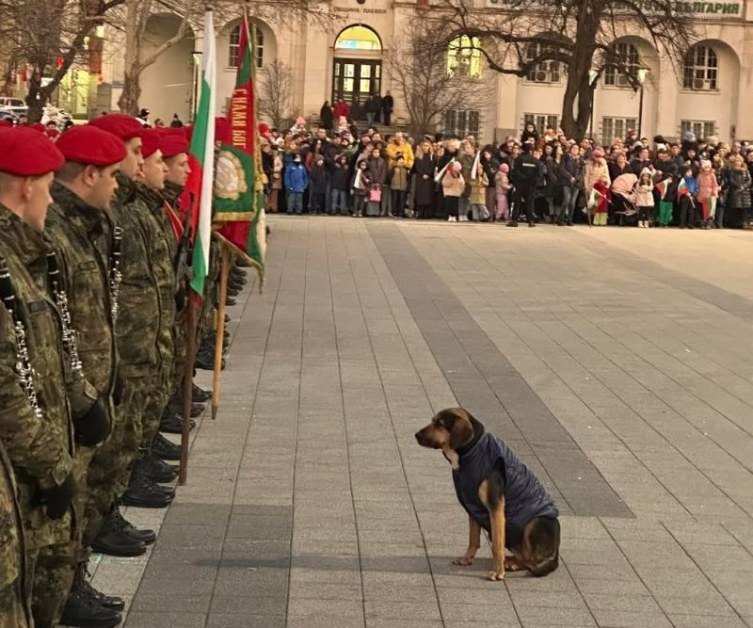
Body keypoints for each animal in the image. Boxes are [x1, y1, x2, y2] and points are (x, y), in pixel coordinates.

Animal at [414, 408, 560, 580]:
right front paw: (467, 559)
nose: (416, 435)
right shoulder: (472, 505)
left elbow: (497, 545)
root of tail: (556, 556)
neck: (472, 450)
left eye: (440, 424)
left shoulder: (495, 506)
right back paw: (511, 560)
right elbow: (473, 537)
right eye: (433, 421)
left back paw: (511, 563)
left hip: (536, 523)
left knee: (531, 560)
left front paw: (498, 572)